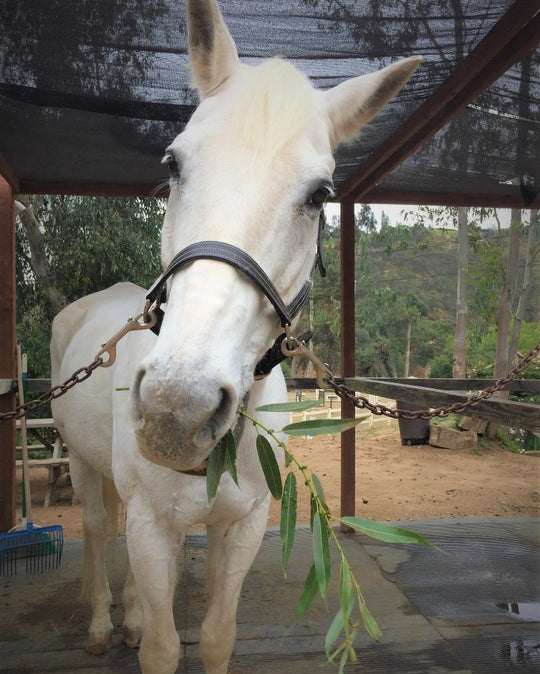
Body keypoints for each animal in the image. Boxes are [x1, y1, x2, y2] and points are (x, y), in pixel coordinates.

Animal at [50, 1, 420, 672]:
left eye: (319, 195)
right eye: (173, 164)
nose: (177, 409)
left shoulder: (242, 527)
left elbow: (217, 634)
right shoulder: (153, 527)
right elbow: (165, 648)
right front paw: (137, 631)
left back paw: (129, 619)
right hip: (84, 464)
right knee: (93, 529)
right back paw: (99, 625)